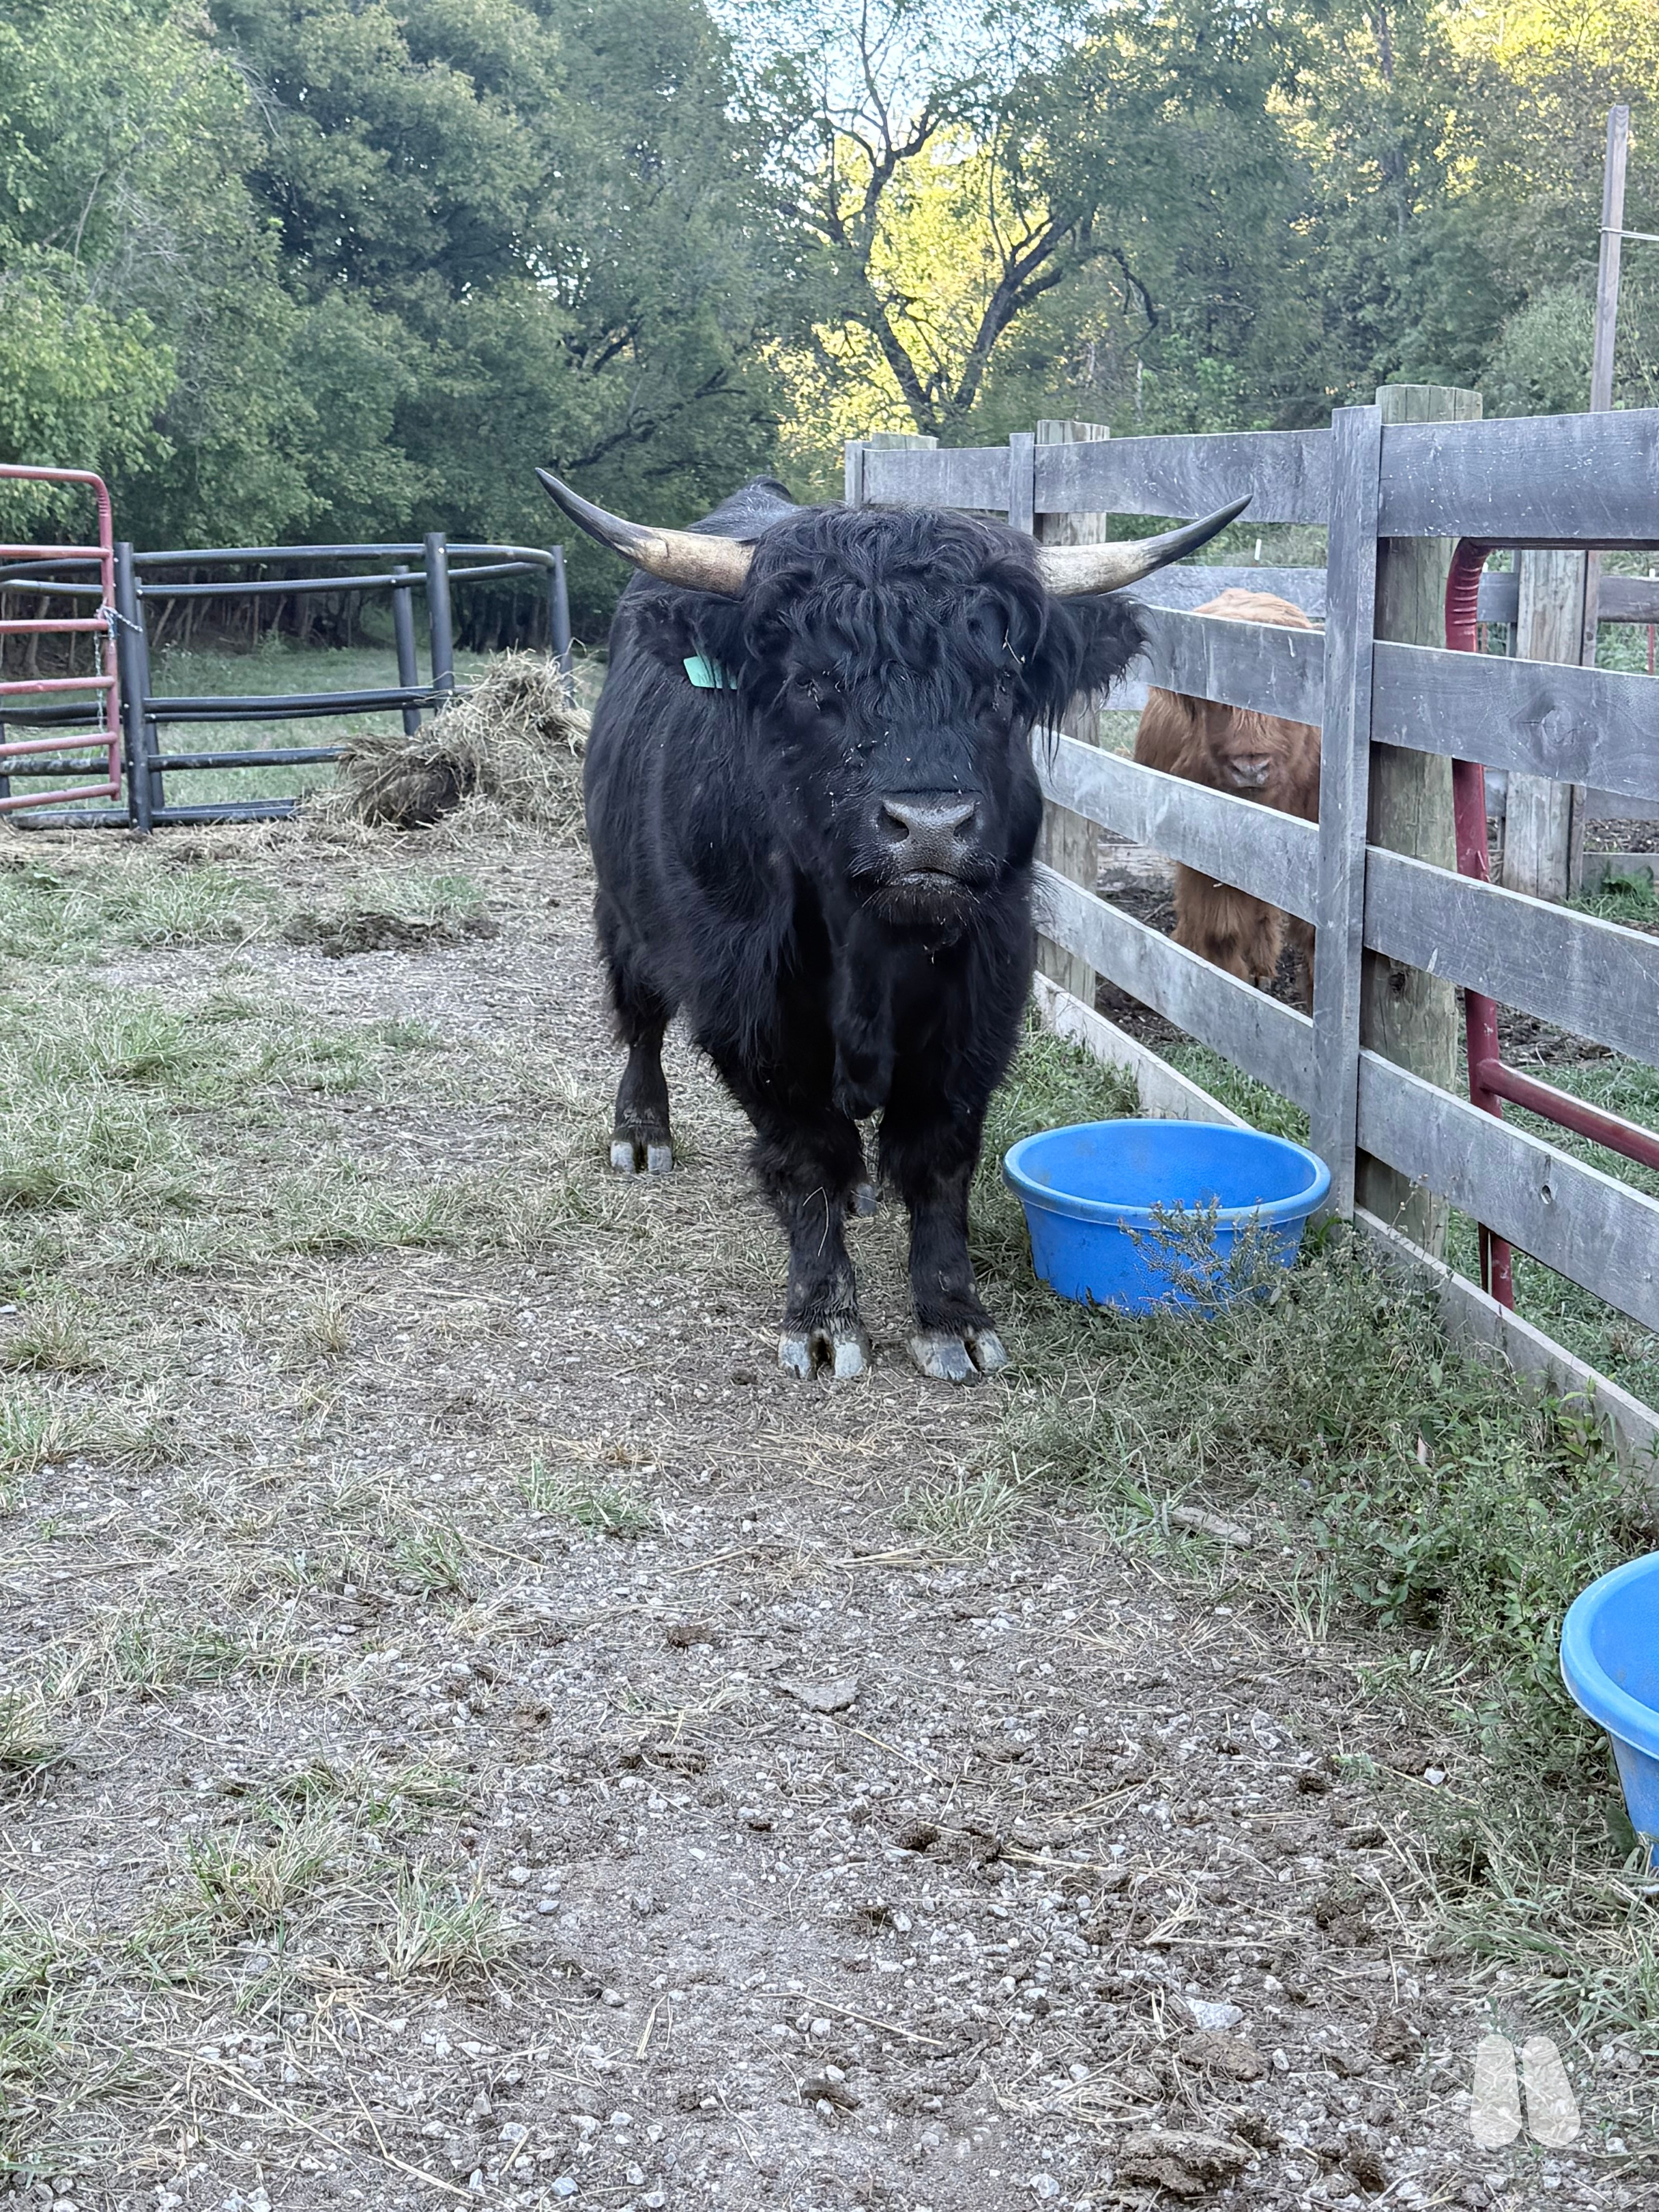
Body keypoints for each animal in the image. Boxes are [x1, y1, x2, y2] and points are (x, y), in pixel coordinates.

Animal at [536, 469, 1245, 1382]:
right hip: (622, 909)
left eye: (1000, 686)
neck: (871, 946)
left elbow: (937, 1157)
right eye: (813, 686)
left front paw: (952, 1318)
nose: (931, 827)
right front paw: (823, 1318)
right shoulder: (751, 1011)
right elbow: (806, 1151)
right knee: (641, 1017)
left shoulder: (984, 995)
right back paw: (640, 1132)